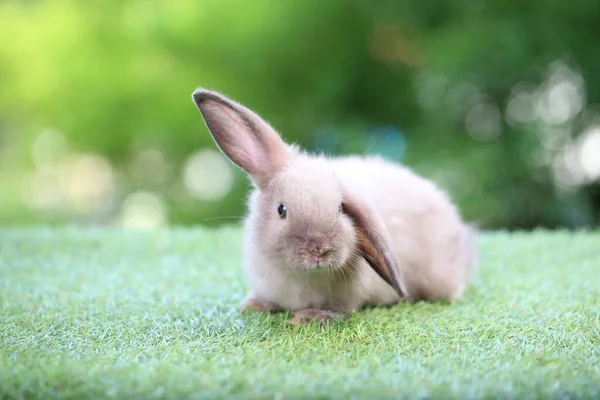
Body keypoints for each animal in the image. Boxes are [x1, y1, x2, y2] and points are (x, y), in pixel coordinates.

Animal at [190, 87, 476, 324]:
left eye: (340, 208)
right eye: (282, 210)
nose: (320, 250)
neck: (301, 276)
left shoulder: (347, 299)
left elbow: (338, 310)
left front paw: (309, 318)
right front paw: (253, 306)